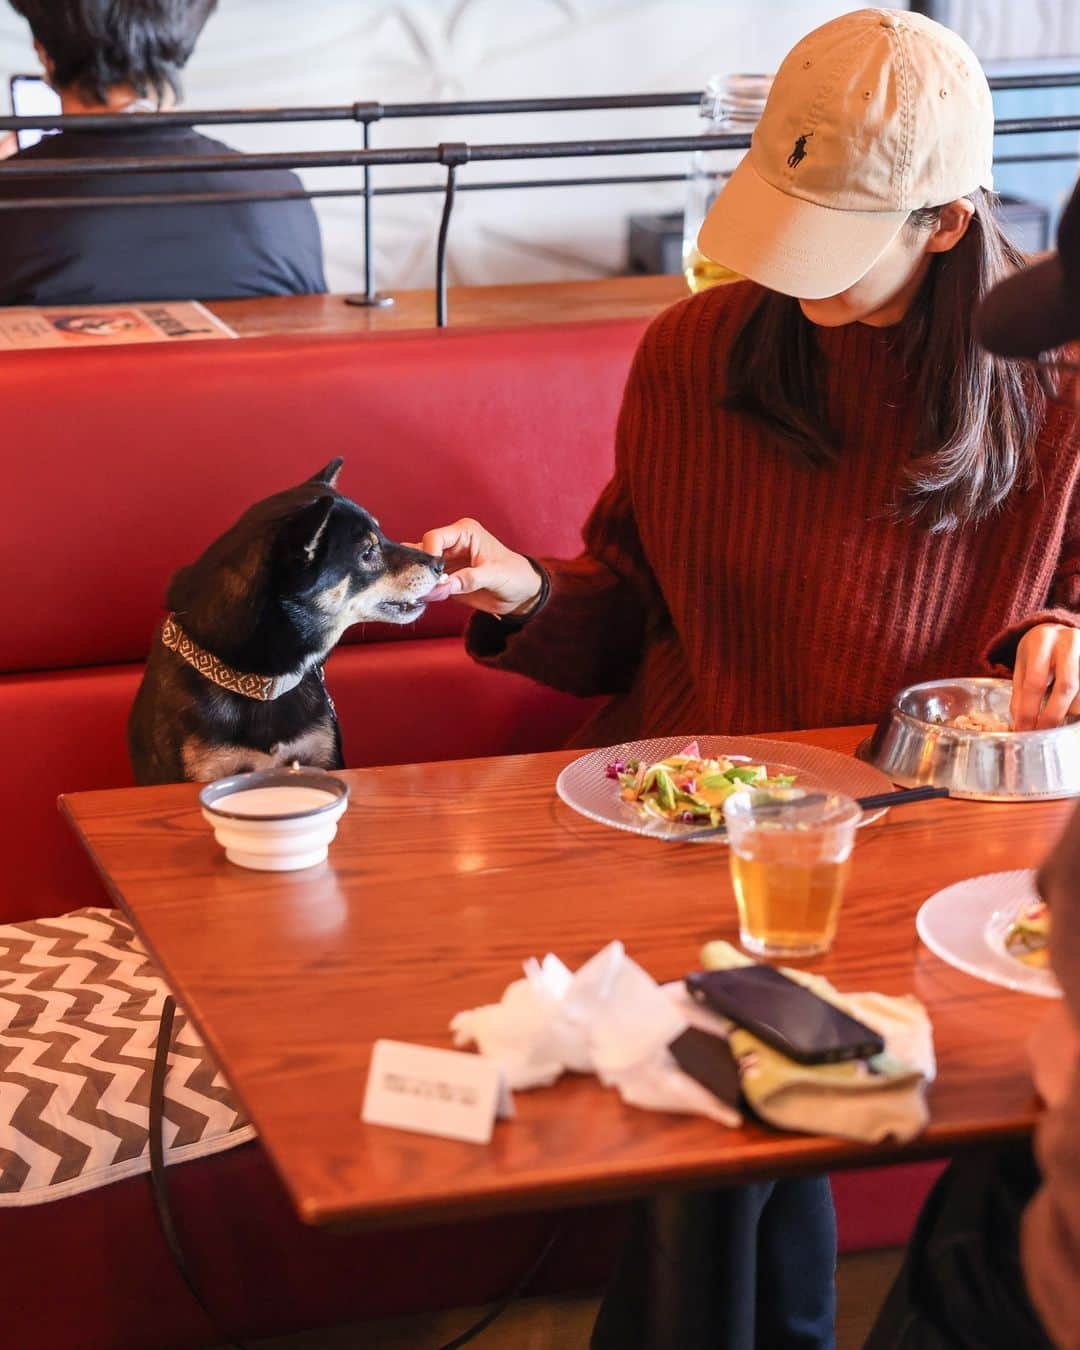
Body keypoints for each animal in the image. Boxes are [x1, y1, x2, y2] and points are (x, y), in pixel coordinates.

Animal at [129, 459, 442, 788]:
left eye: (382, 534)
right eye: (368, 552)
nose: (440, 563)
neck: (258, 680)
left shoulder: (321, 755)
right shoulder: (206, 771)